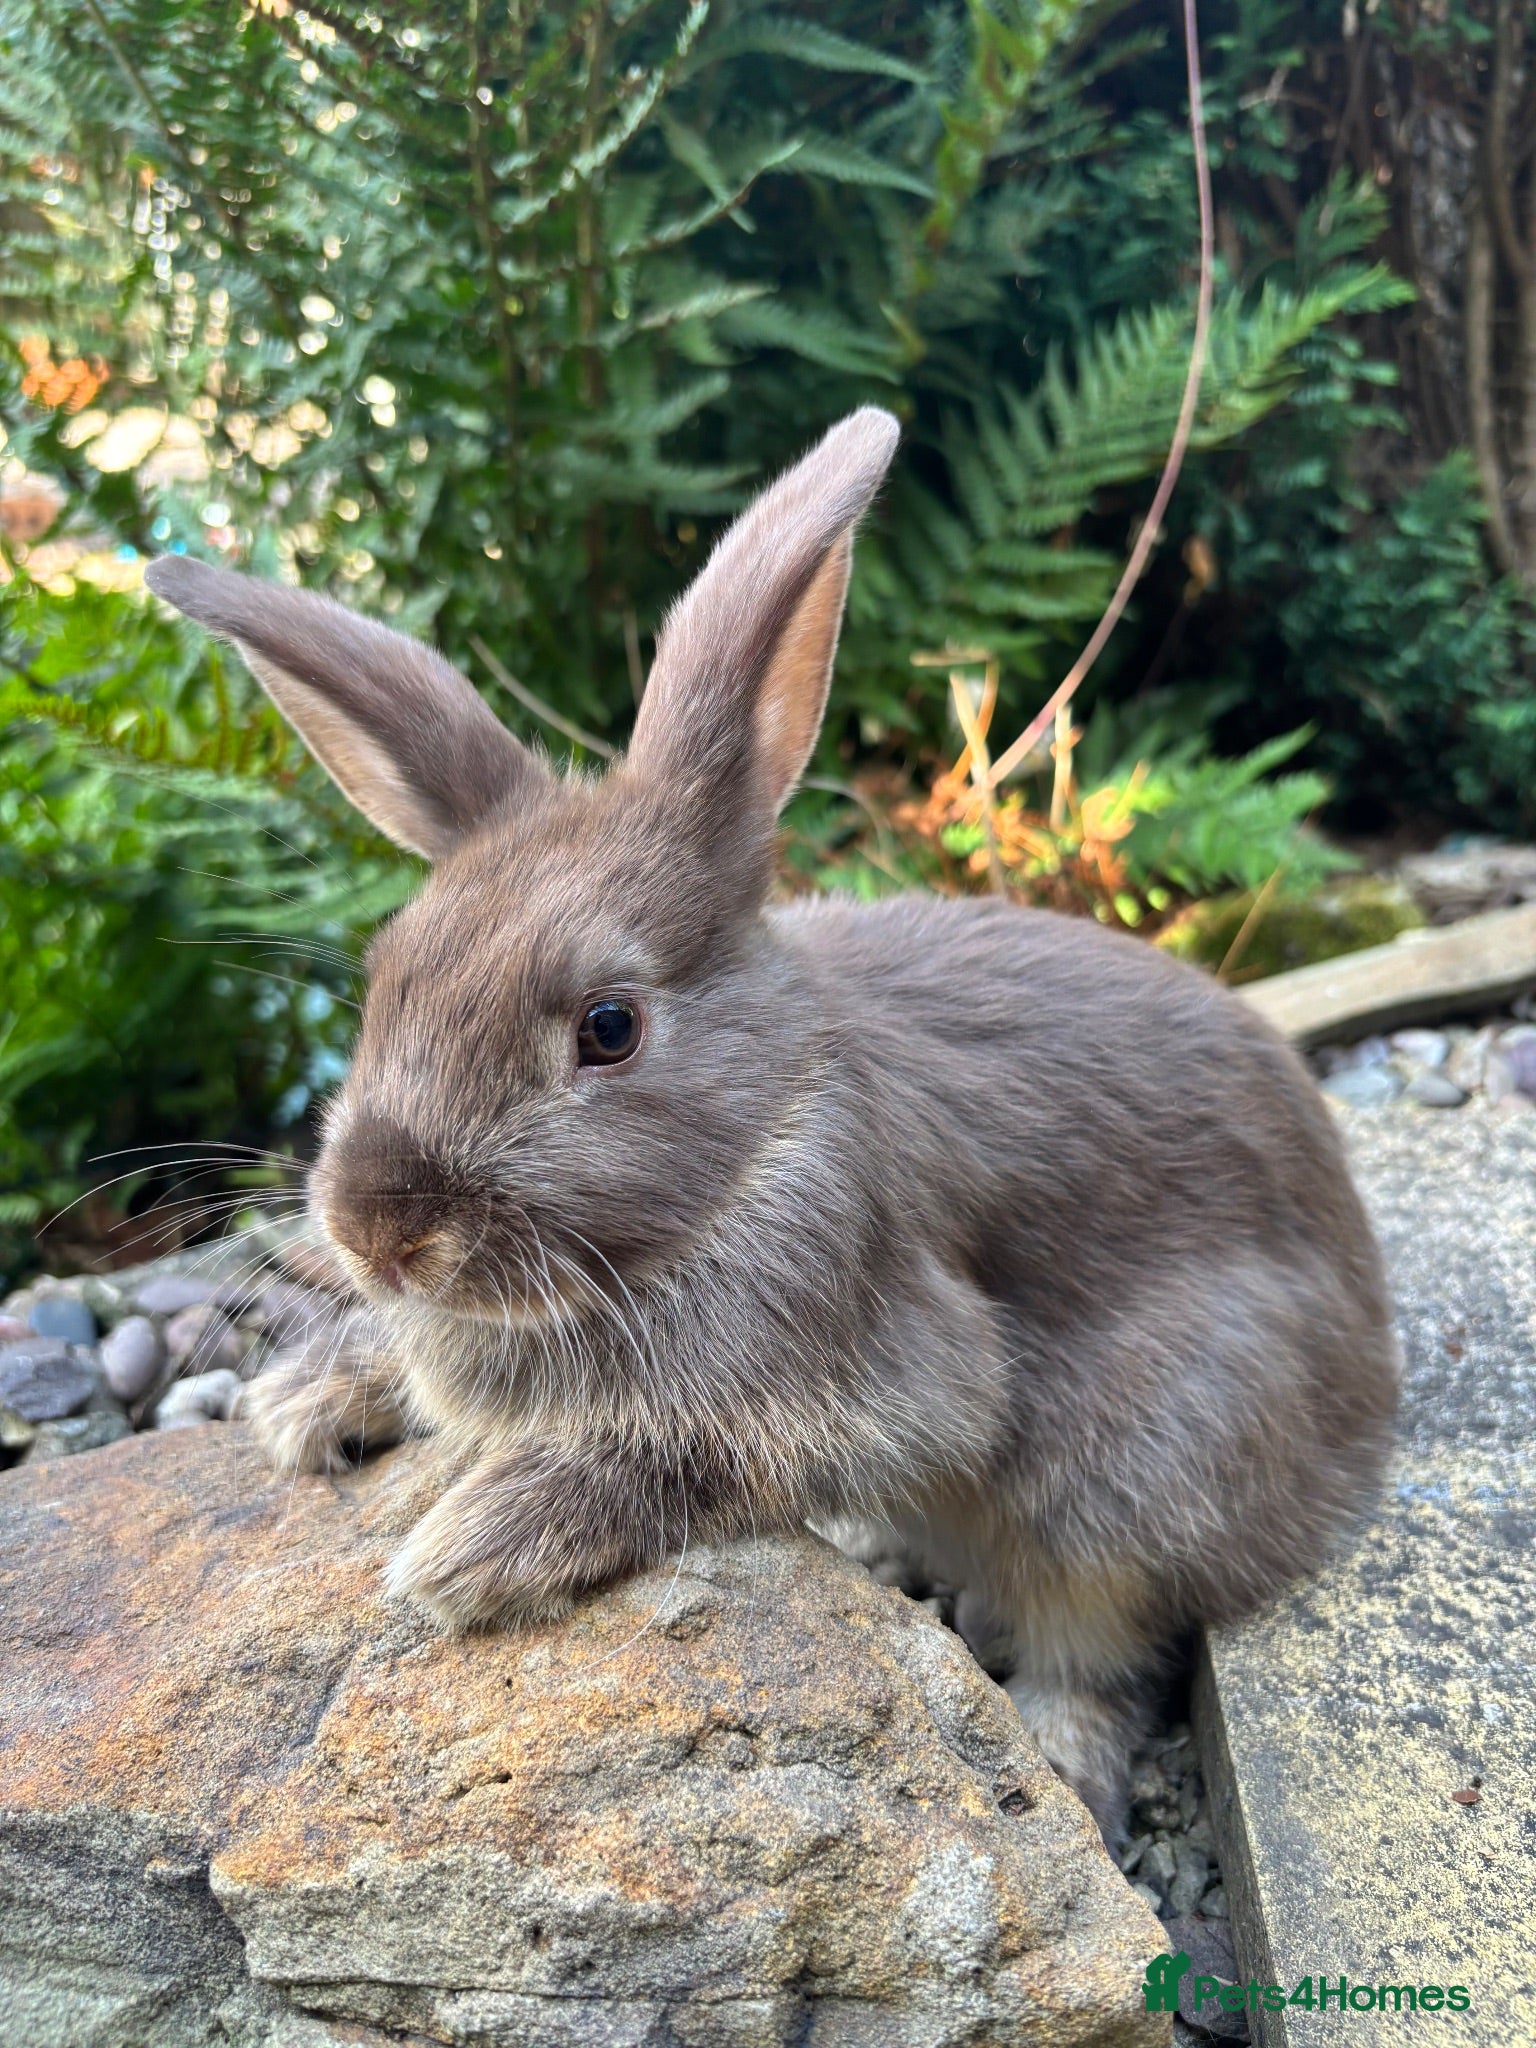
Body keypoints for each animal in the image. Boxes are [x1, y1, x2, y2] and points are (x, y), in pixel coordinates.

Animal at [143, 407, 1400, 1836]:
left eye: (610, 1025)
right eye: (386, 977)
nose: (376, 1232)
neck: (757, 1142)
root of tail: (1368, 1399)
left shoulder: (891, 1364)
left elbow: (695, 1455)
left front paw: (473, 1543)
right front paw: (303, 1404)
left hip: (1139, 1462)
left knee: (1104, 1647)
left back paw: (1056, 1763)